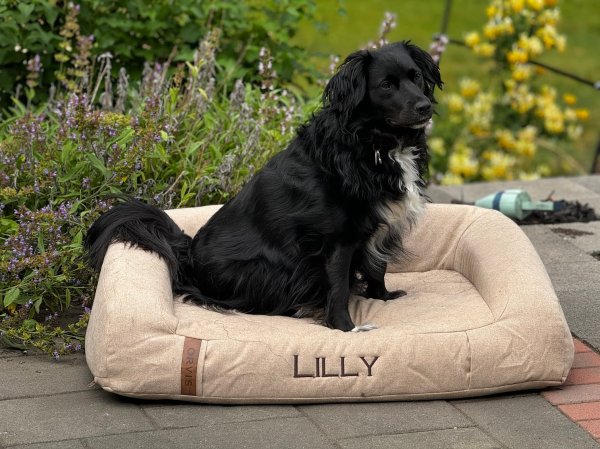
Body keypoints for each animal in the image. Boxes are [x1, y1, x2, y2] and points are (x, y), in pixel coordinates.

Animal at [85, 40, 440, 330]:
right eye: (386, 85)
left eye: (416, 78)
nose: (425, 106)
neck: (374, 143)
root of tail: (189, 256)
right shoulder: (338, 239)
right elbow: (339, 286)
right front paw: (345, 328)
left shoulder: (379, 227)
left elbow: (377, 266)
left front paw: (382, 297)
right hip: (273, 269)